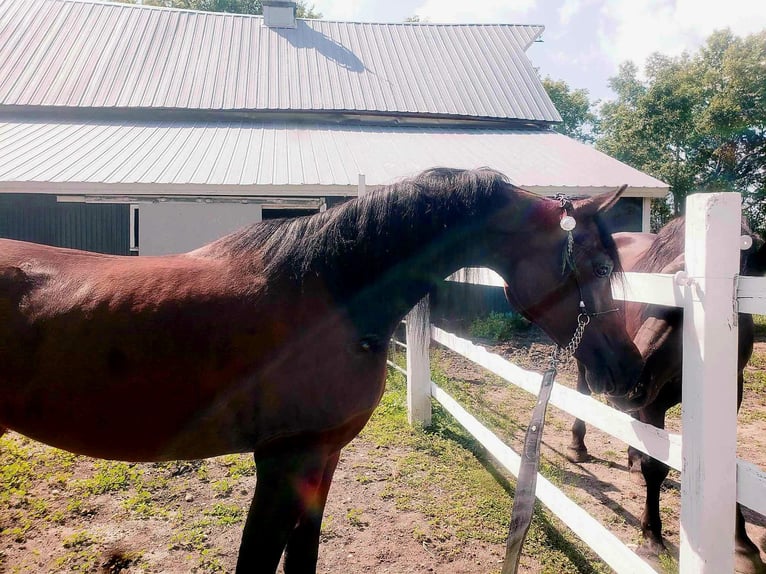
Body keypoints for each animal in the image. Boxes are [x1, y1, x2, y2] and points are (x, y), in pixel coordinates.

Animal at [568, 217, 766, 574]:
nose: (631, 376)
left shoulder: (733, 393)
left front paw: (742, 546)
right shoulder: (653, 403)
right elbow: (656, 466)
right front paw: (650, 537)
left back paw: (631, 460)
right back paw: (578, 446)